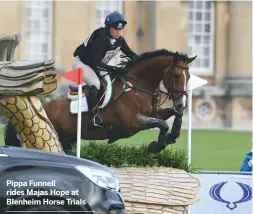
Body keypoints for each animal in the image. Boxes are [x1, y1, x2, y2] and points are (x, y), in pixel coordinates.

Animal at [4, 49, 198, 155]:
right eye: (176, 75)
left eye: (188, 76)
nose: (181, 103)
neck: (137, 85)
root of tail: (44, 108)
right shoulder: (132, 123)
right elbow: (161, 124)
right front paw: (156, 146)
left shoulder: (153, 113)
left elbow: (172, 116)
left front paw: (173, 135)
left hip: (68, 140)